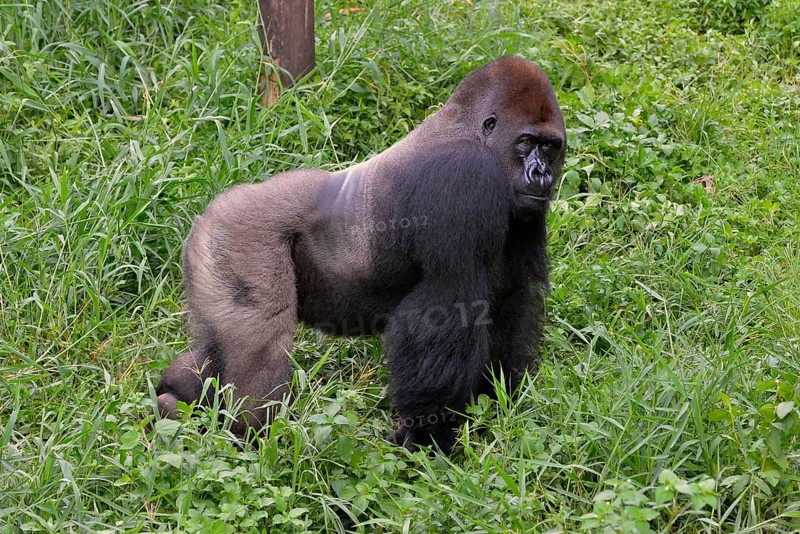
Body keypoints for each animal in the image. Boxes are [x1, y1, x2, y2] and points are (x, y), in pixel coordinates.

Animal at [156, 56, 566, 453]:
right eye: (525, 142)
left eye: (550, 147)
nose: (541, 175)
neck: (469, 129)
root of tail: (210, 211)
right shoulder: (462, 175)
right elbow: (447, 310)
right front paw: (426, 436)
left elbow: (510, 301)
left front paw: (494, 401)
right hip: (239, 238)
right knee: (260, 351)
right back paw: (250, 440)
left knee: (216, 346)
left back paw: (174, 397)